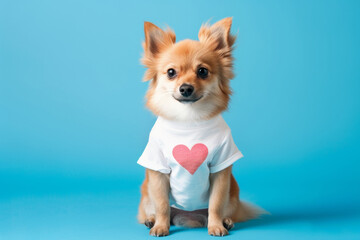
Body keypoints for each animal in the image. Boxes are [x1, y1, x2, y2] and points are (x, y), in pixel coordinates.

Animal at [136, 17, 262, 236]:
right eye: (171, 73)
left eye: (202, 71)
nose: (186, 88)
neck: (189, 120)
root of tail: (189, 217)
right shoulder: (158, 173)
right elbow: (162, 204)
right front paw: (161, 226)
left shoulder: (221, 171)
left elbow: (216, 204)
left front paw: (216, 226)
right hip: (147, 194)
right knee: (155, 208)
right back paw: (152, 220)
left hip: (232, 192)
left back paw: (226, 221)